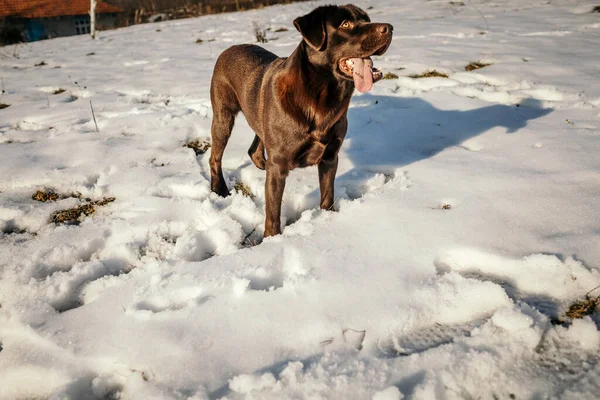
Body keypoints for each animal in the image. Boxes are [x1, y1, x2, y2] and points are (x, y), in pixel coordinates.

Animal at [210, 4, 394, 236]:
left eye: (366, 19)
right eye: (345, 24)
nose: (389, 28)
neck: (321, 98)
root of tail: (228, 49)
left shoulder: (330, 156)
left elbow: (327, 194)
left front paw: (328, 218)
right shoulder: (279, 164)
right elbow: (273, 212)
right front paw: (272, 239)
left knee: (254, 147)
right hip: (223, 118)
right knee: (215, 157)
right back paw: (219, 189)